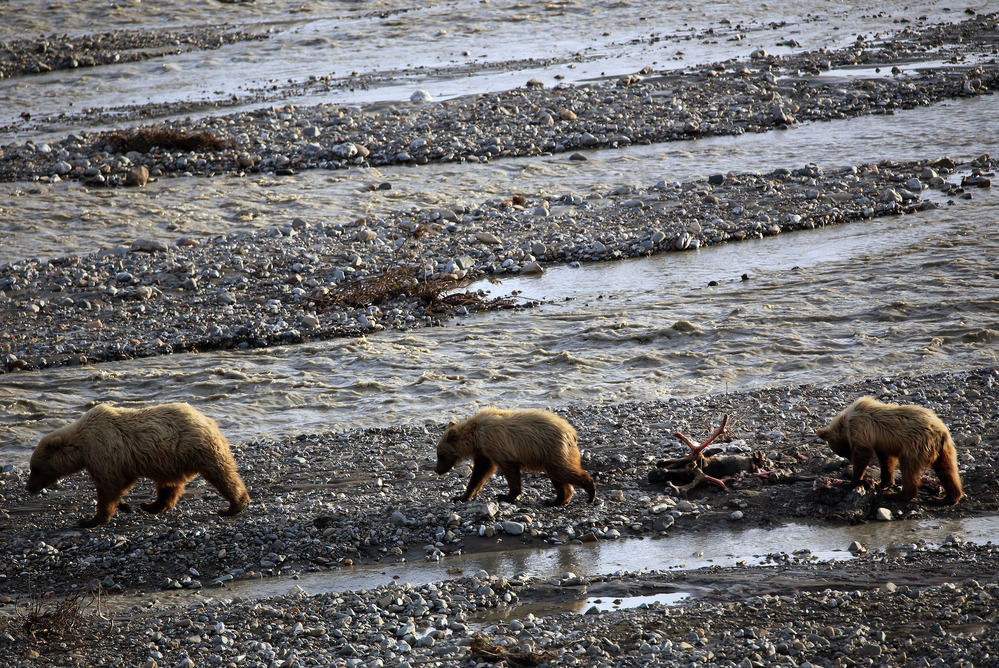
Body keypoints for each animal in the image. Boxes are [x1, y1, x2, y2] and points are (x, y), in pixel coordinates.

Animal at [26, 403, 251, 527]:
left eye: (35, 468)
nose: (29, 487)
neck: (81, 446)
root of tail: (207, 419)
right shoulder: (119, 460)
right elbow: (120, 484)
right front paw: (124, 505)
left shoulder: (103, 452)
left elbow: (108, 487)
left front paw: (91, 519)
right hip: (171, 460)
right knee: (169, 485)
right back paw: (151, 505)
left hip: (197, 449)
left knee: (221, 474)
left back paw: (233, 506)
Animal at [435, 407, 596, 507]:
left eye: (440, 455)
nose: (437, 470)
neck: (476, 438)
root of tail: (572, 432)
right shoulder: (483, 452)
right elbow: (480, 473)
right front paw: (461, 496)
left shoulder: (497, 446)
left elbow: (509, 470)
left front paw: (507, 496)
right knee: (558, 477)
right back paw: (555, 500)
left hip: (553, 449)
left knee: (562, 471)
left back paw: (590, 491)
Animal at [816, 396, 963, 505]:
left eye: (846, 452)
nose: (848, 459)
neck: (846, 422)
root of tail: (940, 432)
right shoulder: (881, 443)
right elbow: (886, 460)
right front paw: (882, 483)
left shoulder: (860, 428)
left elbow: (863, 454)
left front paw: (852, 482)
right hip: (945, 449)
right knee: (947, 469)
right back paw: (949, 497)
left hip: (916, 445)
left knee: (908, 468)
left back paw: (900, 494)